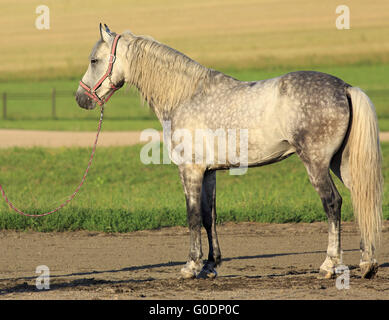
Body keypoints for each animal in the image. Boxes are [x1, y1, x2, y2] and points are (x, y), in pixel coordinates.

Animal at [76, 25, 382, 280]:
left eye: (94, 60)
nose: (81, 99)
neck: (185, 96)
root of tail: (345, 88)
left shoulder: (190, 170)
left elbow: (192, 216)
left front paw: (191, 266)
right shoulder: (209, 172)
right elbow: (209, 217)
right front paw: (210, 266)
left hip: (316, 163)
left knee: (332, 203)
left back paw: (329, 265)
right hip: (340, 163)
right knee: (361, 199)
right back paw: (367, 264)